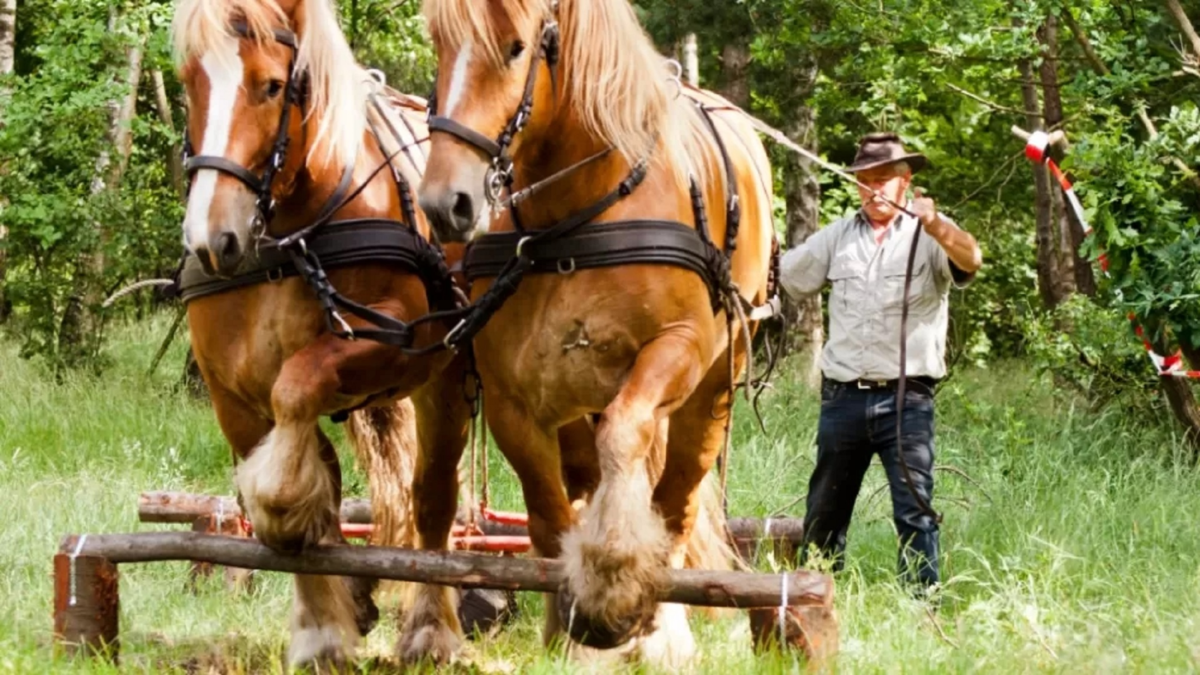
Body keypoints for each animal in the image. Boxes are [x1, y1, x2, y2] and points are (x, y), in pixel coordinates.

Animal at [171, 0, 471, 667]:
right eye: (189, 84)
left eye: (271, 86)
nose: (211, 239)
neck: (290, 243)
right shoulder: (232, 397)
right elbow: (297, 497)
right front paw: (327, 624)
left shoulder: (393, 341)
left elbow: (294, 413)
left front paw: (325, 623)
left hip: (445, 380)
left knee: (433, 495)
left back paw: (432, 629)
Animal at [418, 0, 777, 666]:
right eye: (441, 46)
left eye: (516, 47)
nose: (444, 201)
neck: (576, 220)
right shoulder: (513, 399)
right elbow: (548, 514)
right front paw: (571, 626)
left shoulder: (676, 350)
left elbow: (626, 439)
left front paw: (613, 589)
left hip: (713, 388)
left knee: (676, 497)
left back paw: (662, 628)